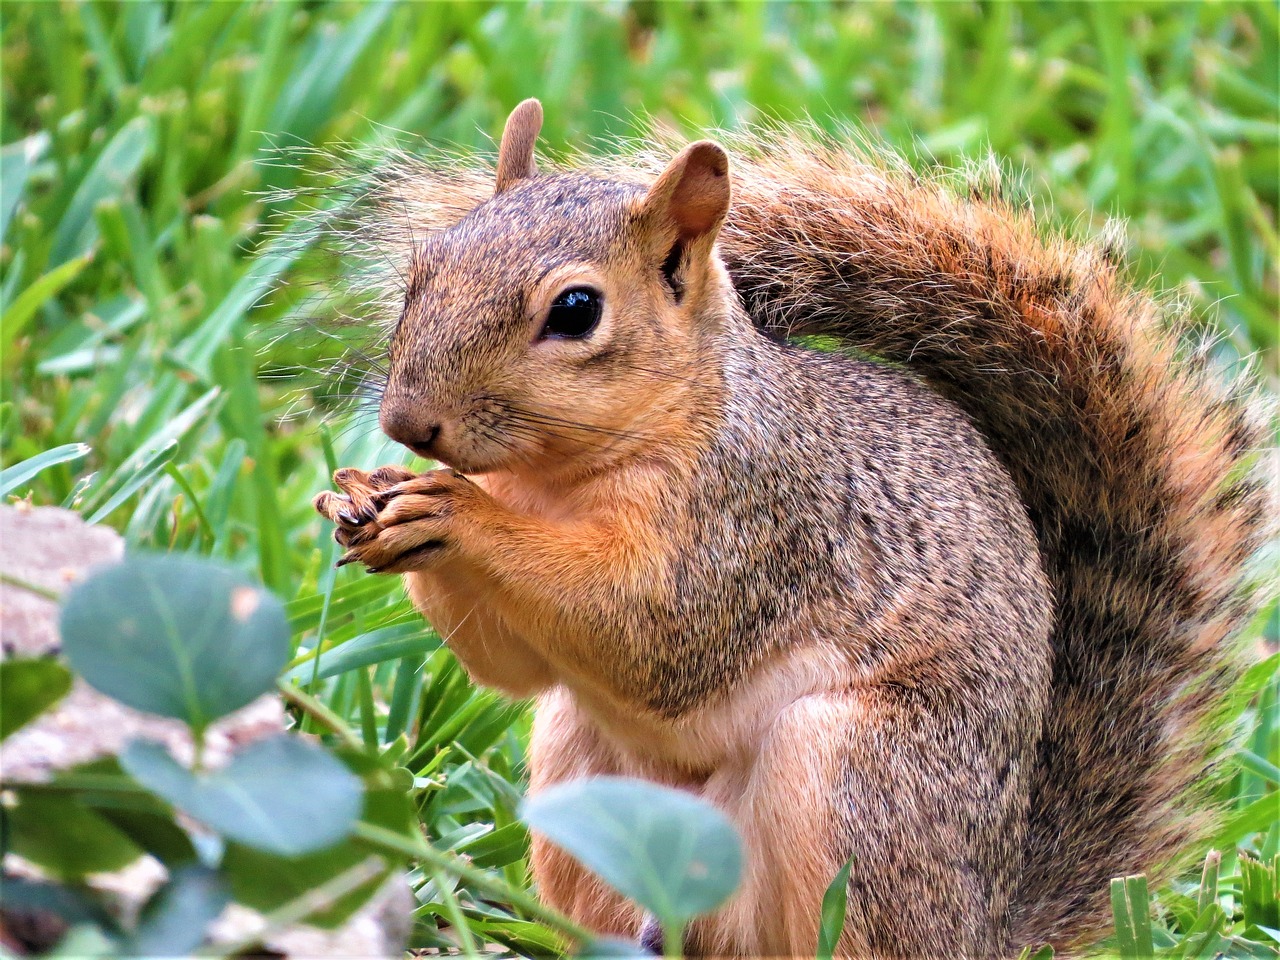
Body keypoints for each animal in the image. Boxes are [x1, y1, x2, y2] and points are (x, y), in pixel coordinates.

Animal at [309, 99, 1269, 960]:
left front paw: (454, 511)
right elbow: (509, 667)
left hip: (857, 782)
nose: (406, 423)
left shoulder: (758, 521)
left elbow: (649, 631)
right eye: (425, 266)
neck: (555, 482)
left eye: (576, 310)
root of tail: (988, 925)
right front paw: (369, 501)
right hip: (586, 780)